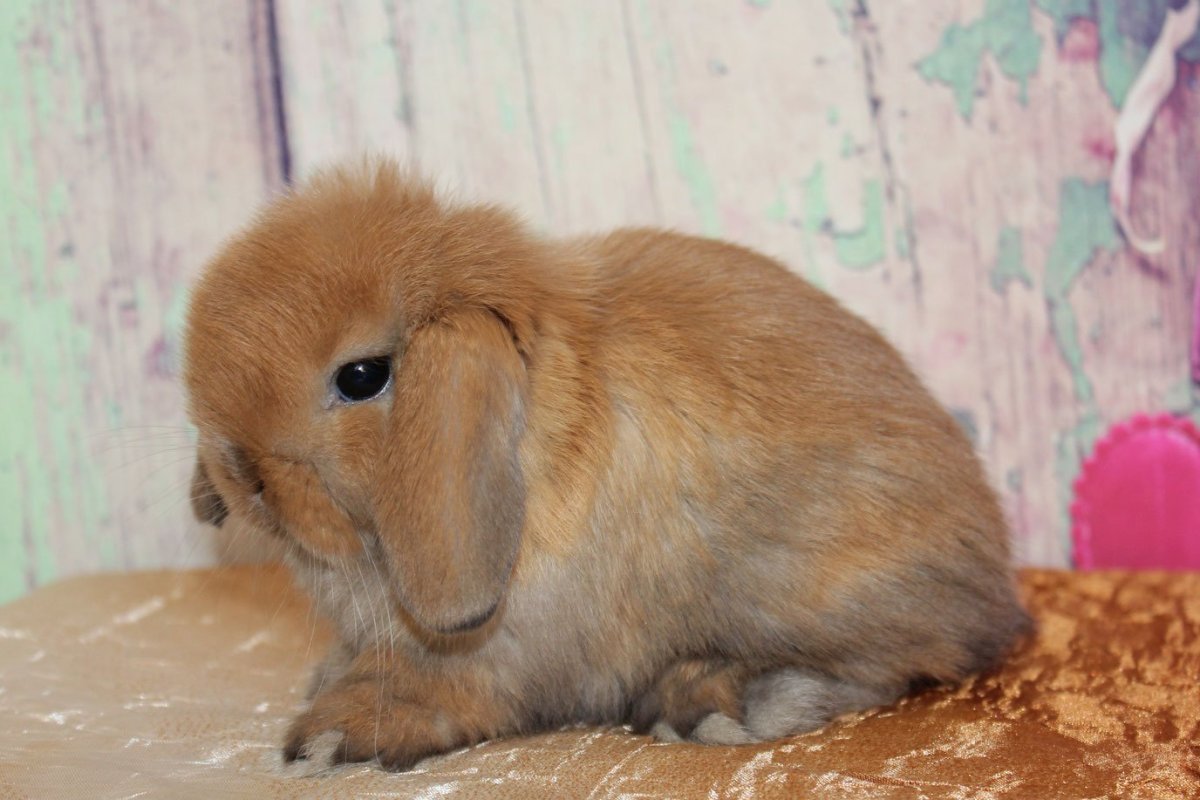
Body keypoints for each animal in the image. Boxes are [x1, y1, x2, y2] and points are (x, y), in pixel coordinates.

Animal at [183, 159, 1031, 771]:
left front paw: (338, 731)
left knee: (900, 660)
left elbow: (455, 686)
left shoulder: (510, 643)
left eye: (361, 377)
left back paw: (708, 700)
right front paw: (328, 684)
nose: (239, 475)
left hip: (838, 587)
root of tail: (994, 580)